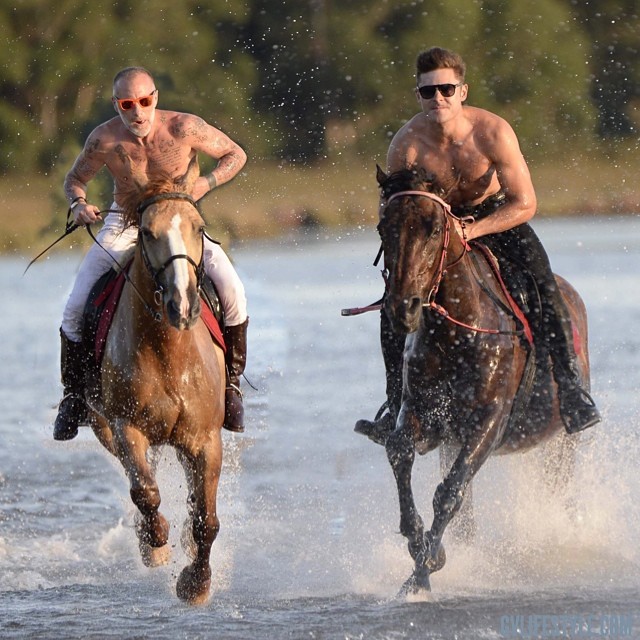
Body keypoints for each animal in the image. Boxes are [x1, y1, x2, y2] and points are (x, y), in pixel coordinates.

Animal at [85, 158, 225, 604]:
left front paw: (196, 583)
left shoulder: (205, 440)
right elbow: (145, 492)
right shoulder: (125, 426)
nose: (181, 304)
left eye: (199, 227)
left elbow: (206, 520)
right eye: (148, 232)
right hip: (103, 428)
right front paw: (156, 542)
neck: (169, 352)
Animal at [376, 166, 592, 596]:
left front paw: (423, 571)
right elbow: (400, 452)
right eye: (383, 228)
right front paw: (419, 545)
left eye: (433, 228)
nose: (402, 307)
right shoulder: (420, 413)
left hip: (560, 443)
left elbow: (449, 492)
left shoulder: (489, 421)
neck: (458, 330)